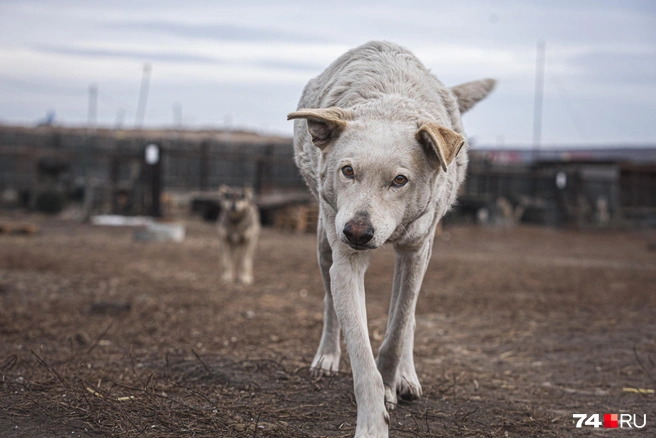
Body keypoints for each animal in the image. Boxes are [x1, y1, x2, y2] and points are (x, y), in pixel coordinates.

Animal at [290, 42, 494, 438]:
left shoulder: (416, 250)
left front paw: (391, 384)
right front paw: (372, 422)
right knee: (328, 301)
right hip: (324, 244)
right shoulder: (346, 262)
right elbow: (361, 354)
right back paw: (327, 357)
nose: (357, 232)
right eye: (347, 171)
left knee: (409, 315)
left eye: (399, 180)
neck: (389, 103)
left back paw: (407, 378)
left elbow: (399, 328)